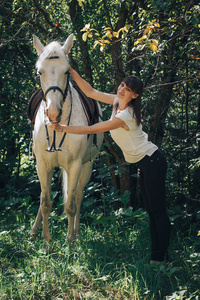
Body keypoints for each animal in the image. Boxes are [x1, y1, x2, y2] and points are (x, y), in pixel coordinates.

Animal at [31, 33, 103, 244]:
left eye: (66, 72)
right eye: (40, 73)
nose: (53, 113)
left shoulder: (75, 165)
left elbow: (70, 204)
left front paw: (70, 242)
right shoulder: (42, 164)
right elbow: (45, 202)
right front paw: (47, 242)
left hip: (86, 166)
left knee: (78, 196)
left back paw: (77, 233)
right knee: (44, 196)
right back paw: (34, 231)